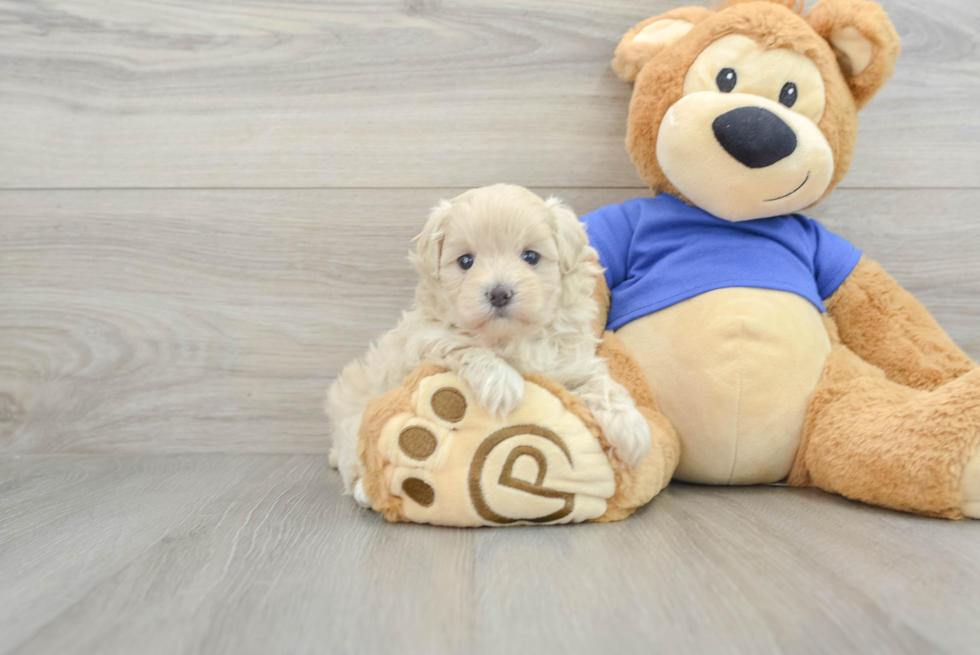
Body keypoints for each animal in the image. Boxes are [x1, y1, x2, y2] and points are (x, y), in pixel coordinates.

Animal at [328, 184, 652, 502]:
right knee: (352, 457)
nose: (499, 293)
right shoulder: (426, 340)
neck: (511, 337)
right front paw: (503, 386)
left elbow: (603, 384)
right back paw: (363, 488)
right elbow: (467, 348)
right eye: (466, 261)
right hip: (354, 420)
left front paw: (631, 430)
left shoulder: (572, 360)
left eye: (531, 257)